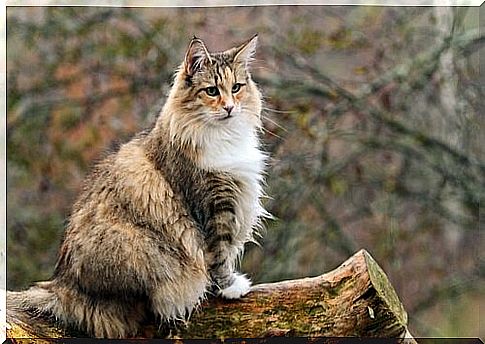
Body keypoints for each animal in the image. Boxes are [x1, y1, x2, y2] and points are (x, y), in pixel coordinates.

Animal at [7, 35, 270, 338]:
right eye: (212, 91)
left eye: (236, 88)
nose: (229, 108)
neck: (224, 137)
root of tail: (63, 285)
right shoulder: (212, 206)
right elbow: (218, 255)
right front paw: (230, 287)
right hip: (138, 248)